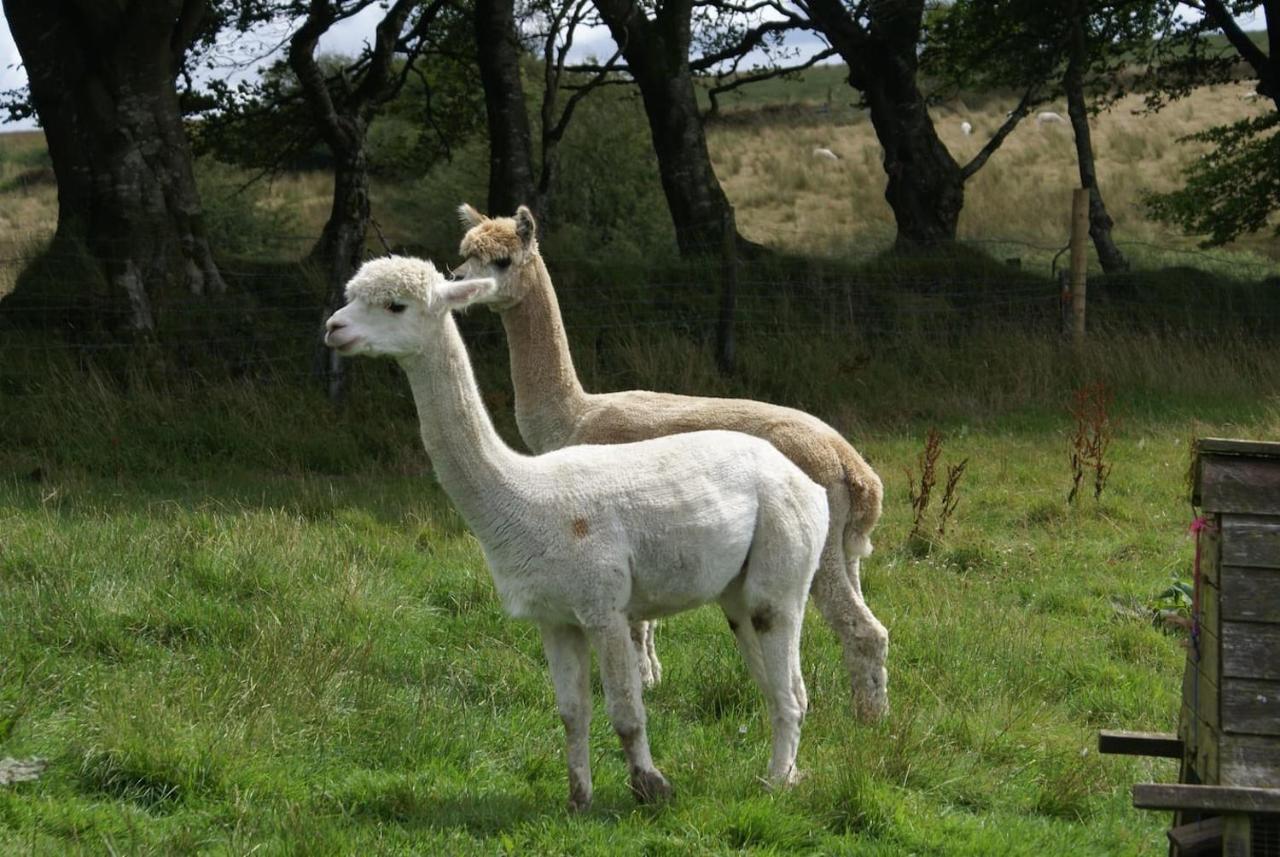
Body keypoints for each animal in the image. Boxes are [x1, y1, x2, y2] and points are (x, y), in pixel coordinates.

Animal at [325, 258, 829, 813]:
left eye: (395, 306)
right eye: (352, 296)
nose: (333, 328)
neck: (525, 497)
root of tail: (805, 479)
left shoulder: (603, 605)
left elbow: (626, 713)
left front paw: (650, 787)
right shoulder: (554, 616)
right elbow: (571, 712)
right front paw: (577, 799)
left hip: (782, 558)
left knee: (788, 680)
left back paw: (775, 782)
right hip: (735, 591)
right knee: (780, 684)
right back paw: (788, 774)